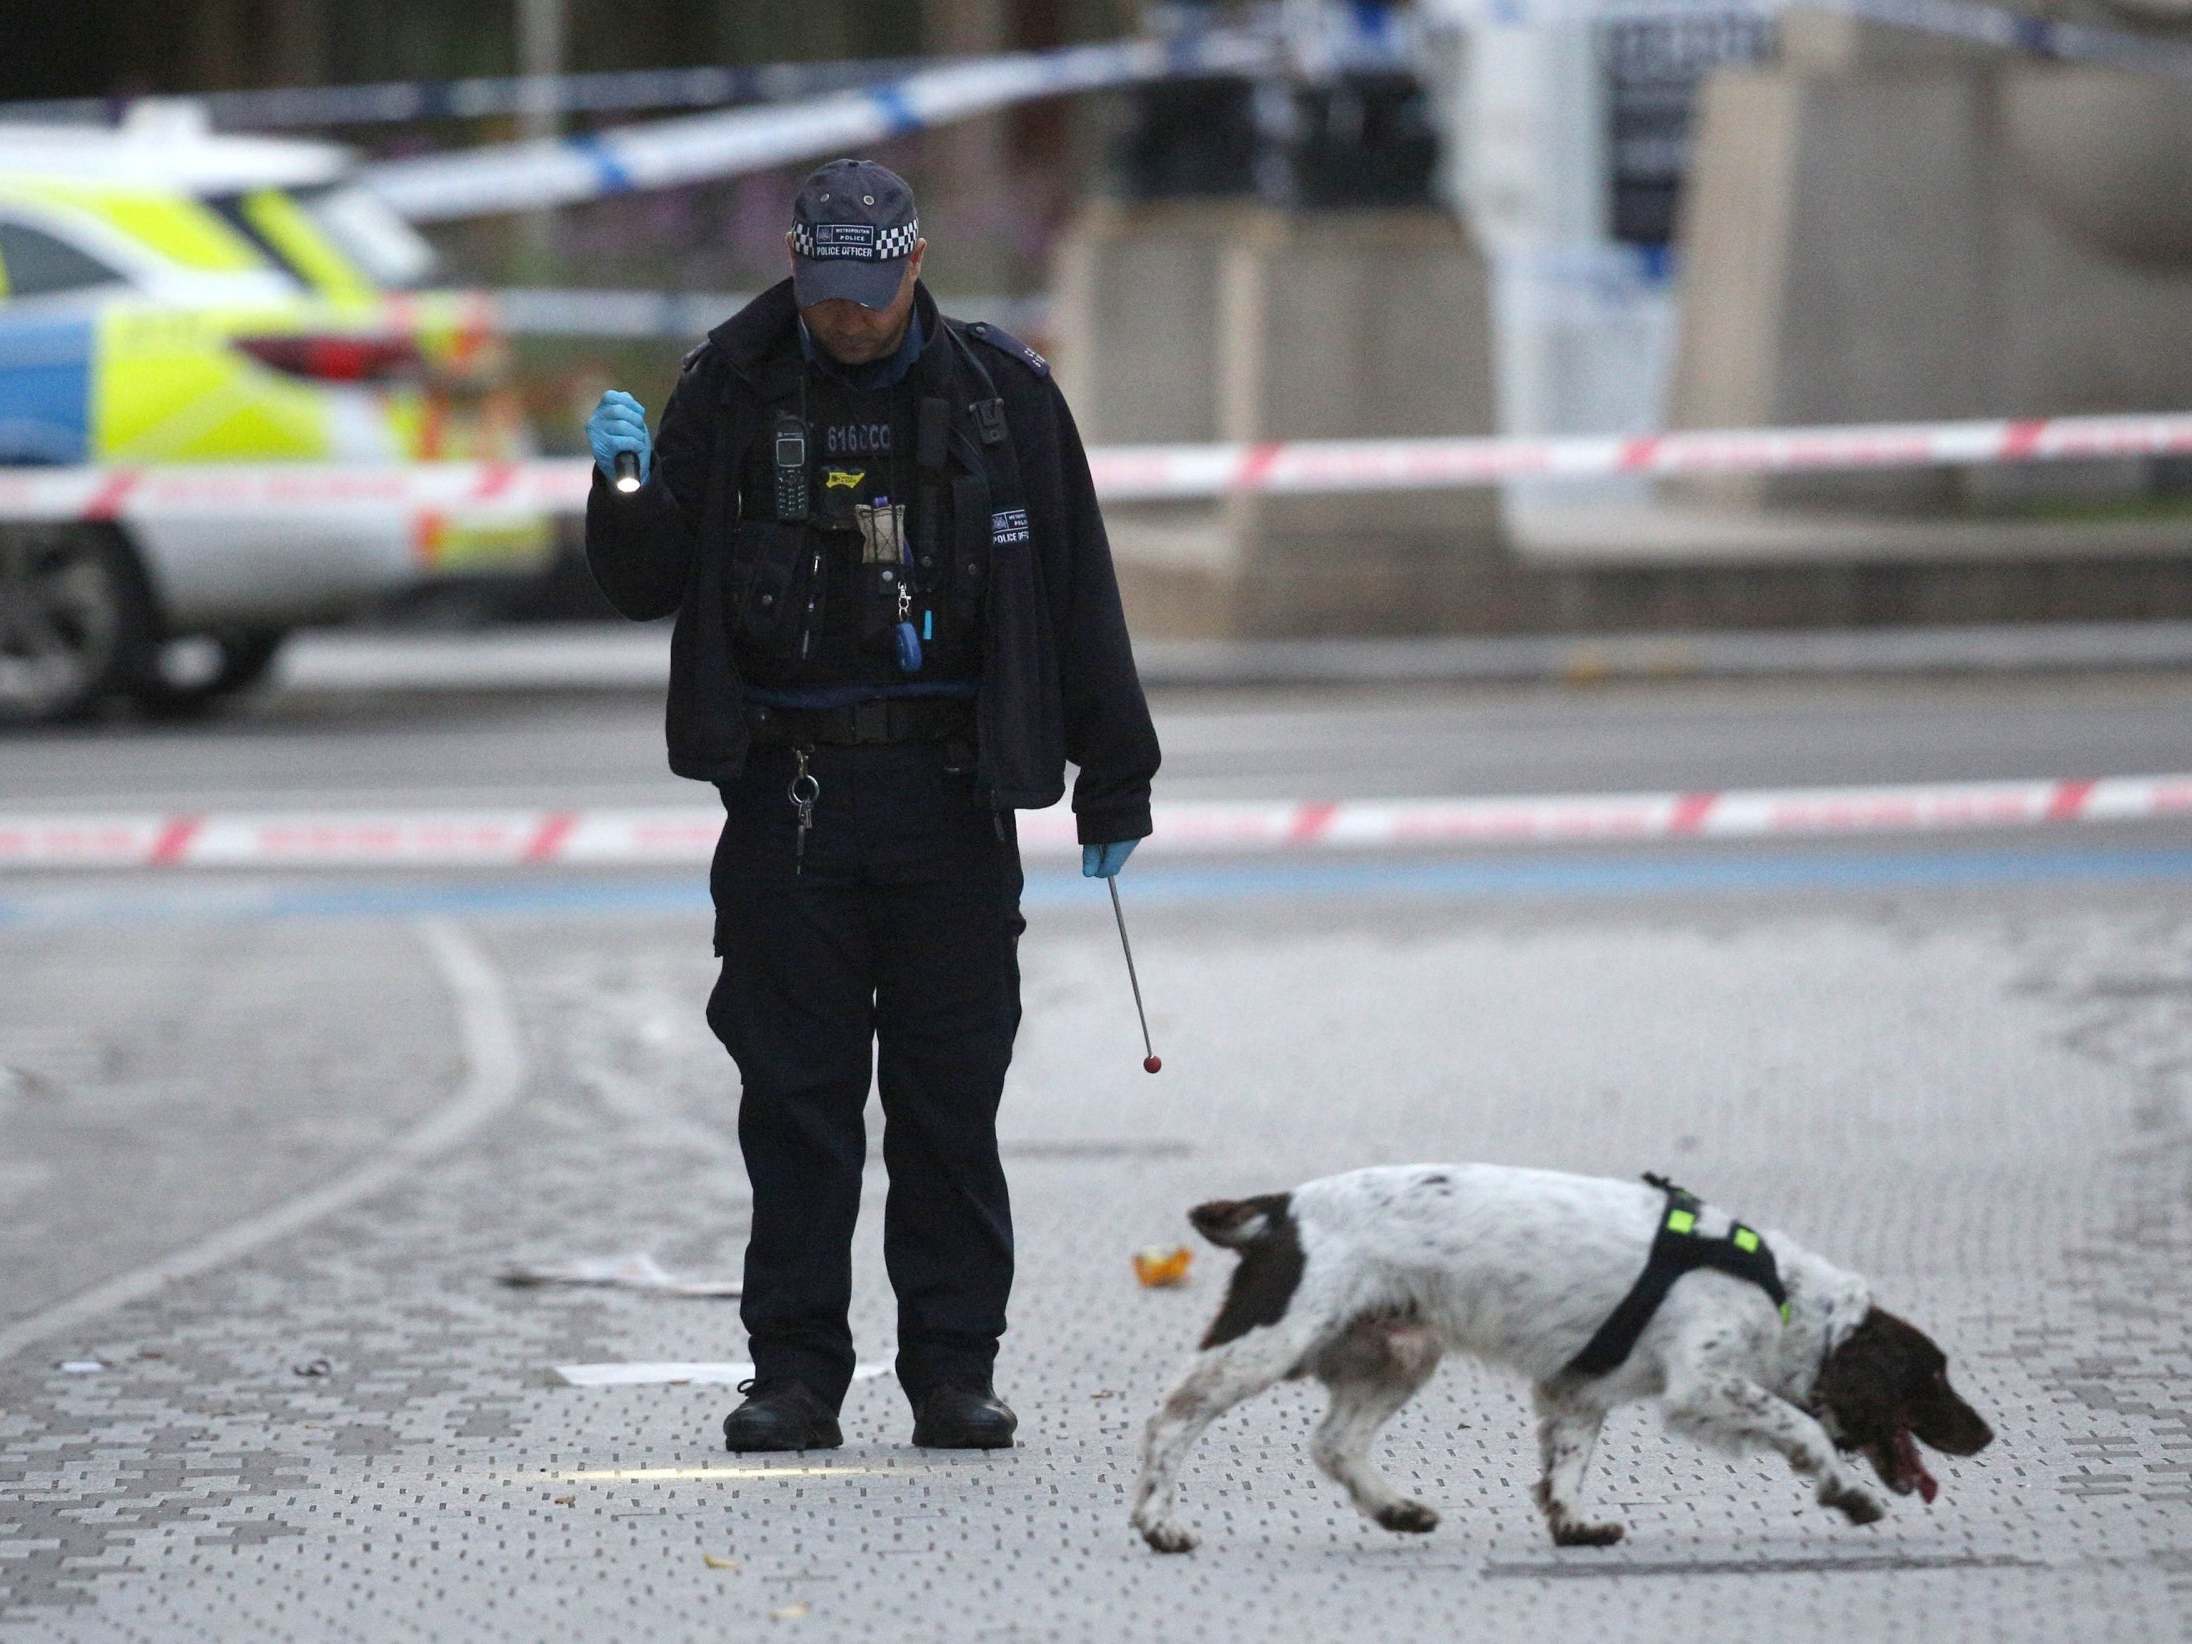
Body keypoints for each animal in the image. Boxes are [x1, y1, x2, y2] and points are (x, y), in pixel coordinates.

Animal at [1139, 1157, 1999, 1560]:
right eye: (1932, 1375)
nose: (1987, 1435)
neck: (1786, 1296)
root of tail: (1280, 1207)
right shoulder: (1702, 1383)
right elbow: (1804, 1431)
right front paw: (1846, 1496)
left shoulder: (1578, 1390)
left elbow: (1565, 1465)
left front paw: (1575, 1524)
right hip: (1270, 1341)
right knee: (1172, 1415)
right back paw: (1158, 1523)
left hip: (1399, 1351)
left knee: (1333, 1442)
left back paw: (1397, 1510)